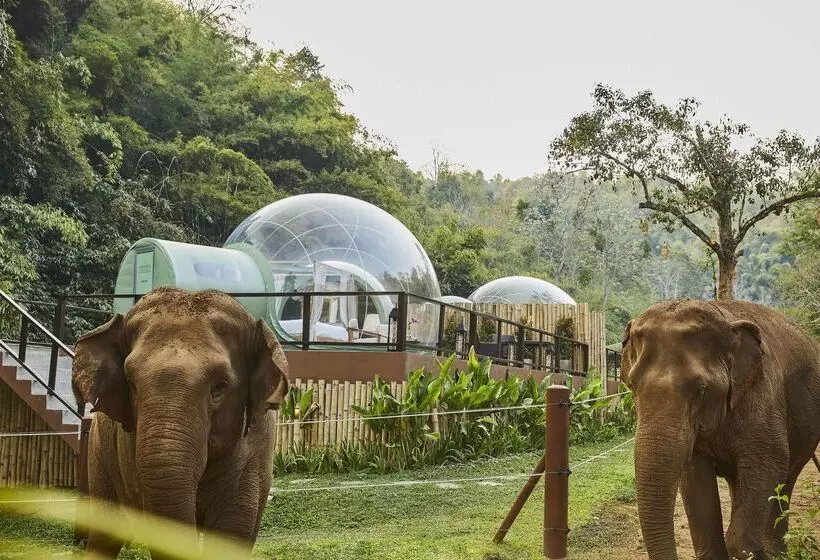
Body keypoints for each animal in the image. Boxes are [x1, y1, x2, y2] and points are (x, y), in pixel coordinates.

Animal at [71, 287, 290, 558]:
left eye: (220, 386)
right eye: (131, 383)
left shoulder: (257, 446)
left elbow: (231, 534)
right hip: (99, 453)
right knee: (105, 532)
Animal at [621, 299, 820, 560]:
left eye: (701, 390)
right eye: (632, 386)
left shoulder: (762, 395)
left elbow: (769, 461)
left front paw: (751, 551)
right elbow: (695, 477)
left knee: (787, 475)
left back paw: (776, 553)